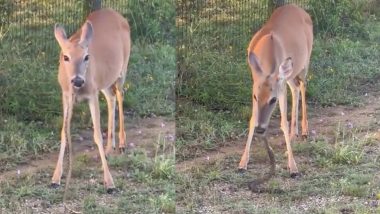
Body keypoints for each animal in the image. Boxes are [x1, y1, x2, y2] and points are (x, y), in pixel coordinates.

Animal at [50, 8, 131, 193]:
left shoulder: (92, 94)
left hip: (122, 68)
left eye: (86, 57)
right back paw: (109, 148)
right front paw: (55, 178)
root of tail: (118, 15)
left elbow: (97, 135)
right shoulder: (66, 95)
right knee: (111, 97)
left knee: (120, 95)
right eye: (65, 57)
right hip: (105, 80)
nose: (78, 80)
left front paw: (109, 182)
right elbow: (63, 132)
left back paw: (122, 144)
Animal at [239, 3, 314, 186]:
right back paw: (294, 135)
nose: (261, 129)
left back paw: (304, 131)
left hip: (305, 61)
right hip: (290, 75)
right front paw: (243, 163)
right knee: (295, 88)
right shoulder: (255, 83)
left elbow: (283, 123)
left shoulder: (279, 89)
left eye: (272, 100)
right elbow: (252, 119)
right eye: (255, 97)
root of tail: (298, 8)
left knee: (303, 85)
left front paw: (293, 168)